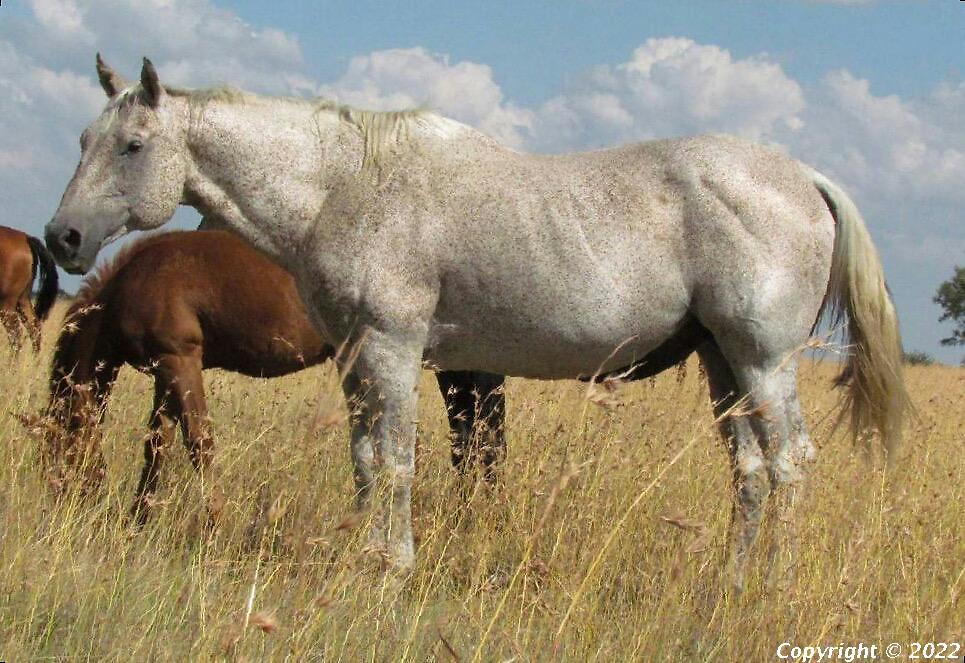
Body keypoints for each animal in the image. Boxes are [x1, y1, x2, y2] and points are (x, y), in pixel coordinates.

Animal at [40, 231, 500, 528]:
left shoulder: (178, 360)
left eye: (60, 440)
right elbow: (157, 446)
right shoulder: (165, 371)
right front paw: (139, 518)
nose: (63, 499)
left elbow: (199, 444)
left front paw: (215, 523)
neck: (132, 282)